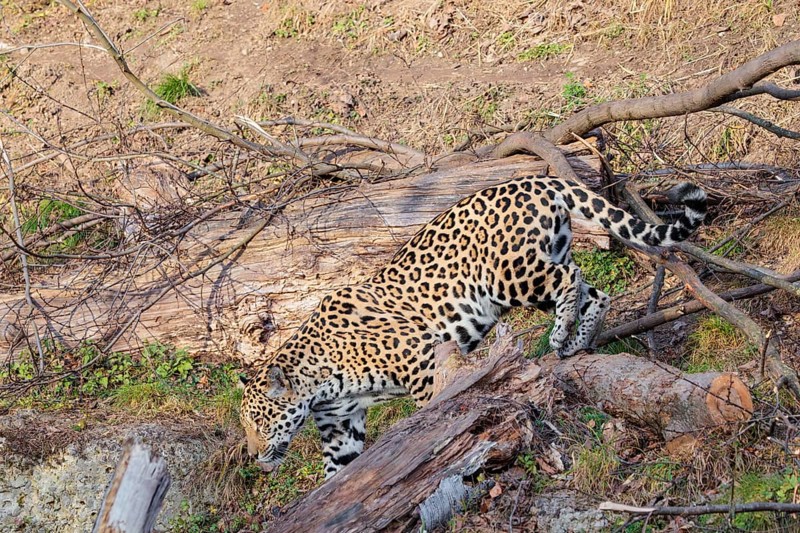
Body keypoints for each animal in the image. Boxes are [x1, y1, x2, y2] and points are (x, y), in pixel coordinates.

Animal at [239, 175, 707, 479]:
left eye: (259, 422)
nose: (255, 456)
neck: (318, 383)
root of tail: (536, 179)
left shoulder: (422, 361)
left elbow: (433, 408)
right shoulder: (339, 427)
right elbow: (338, 473)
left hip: (511, 276)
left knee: (570, 280)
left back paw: (559, 335)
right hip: (544, 259)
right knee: (596, 291)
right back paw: (575, 342)